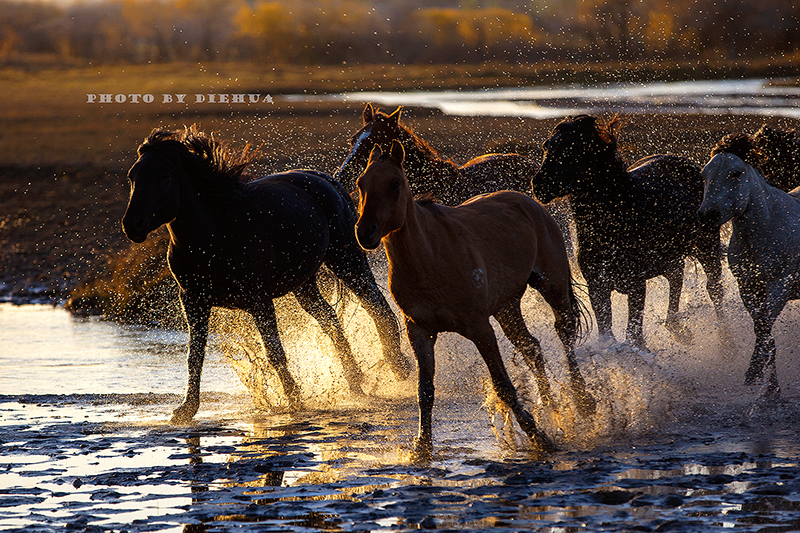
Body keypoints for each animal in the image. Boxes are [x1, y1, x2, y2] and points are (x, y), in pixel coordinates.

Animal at [126, 127, 416, 422]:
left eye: (164, 175)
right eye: (132, 176)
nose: (132, 225)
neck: (215, 234)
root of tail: (329, 180)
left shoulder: (259, 299)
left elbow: (274, 351)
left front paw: (294, 399)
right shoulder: (194, 302)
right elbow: (194, 356)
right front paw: (186, 409)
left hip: (348, 261)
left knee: (377, 307)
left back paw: (398, 366)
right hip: (304, 285)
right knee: (332, 321)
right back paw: (355, 382)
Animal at [354, 140, 592, 458]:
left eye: (395, 183)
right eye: (361, 183)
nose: (364, 232)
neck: (430, 255)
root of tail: (531, 203)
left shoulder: (480, 328)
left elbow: (503, 386)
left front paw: (539, 437)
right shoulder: (419, 331)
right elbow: (425, 391)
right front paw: (422, 446)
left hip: (552, 287)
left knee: (564, 334)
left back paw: (583, 401)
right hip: (507, 308)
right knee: (532, 348)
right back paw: (551, 406)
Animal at [532, 115, 724, 350]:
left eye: (573, 148)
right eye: (547, 146)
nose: (539, 185)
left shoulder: (636, 285)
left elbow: (634, 335)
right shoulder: (597, 288)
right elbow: (607, 331)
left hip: (707, 246)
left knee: (714, 289)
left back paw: (725, 339)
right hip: (670, 257)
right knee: (676, 276)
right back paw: (677, 328)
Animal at [696, 134, 800, 400]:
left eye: (736, 172)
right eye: (704, 174)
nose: (707, 215)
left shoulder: (781, 283)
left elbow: (764, 327)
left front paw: (763, 381)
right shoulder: (748, 286)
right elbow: (760, 328)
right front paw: (761, 380)